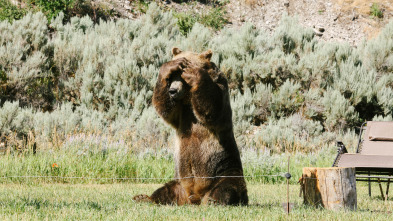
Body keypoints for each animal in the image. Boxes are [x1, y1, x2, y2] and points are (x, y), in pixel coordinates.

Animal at [133, 47, 247, 205]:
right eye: (172, 77)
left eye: (181, 77)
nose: (173, 91)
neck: (187, 99)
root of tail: (194, 197)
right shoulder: (181, 113)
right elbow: (164, 108)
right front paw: (170, 67)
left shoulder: (220, 87)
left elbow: (214, 109)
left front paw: (192, 72)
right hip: (180, 182)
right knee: (166, 190)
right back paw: (144, 198)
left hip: (225, 168)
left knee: (227, 188)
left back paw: (213, 200)